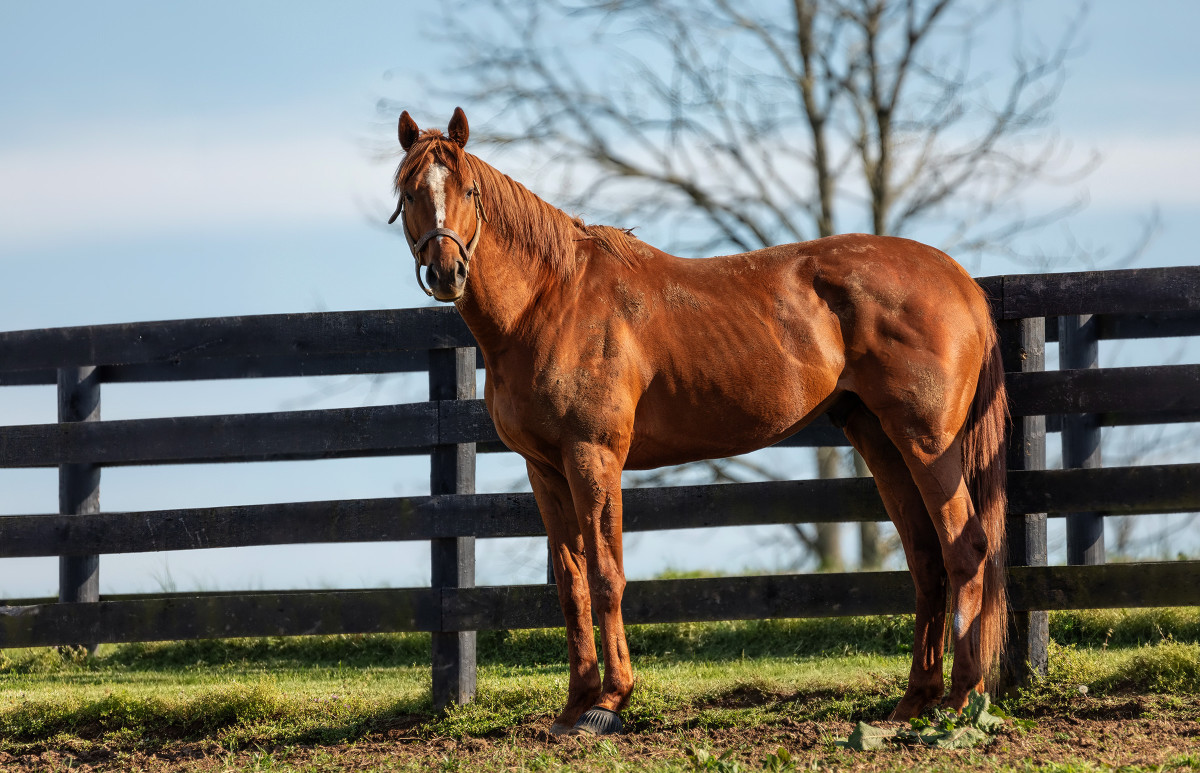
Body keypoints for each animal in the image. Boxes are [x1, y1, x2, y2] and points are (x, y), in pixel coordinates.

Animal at [388, 108, 1008, 734]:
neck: (549, 303)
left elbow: (606, 576)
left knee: (965, 548)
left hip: (927, 441)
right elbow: (571, 583)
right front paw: (574, 704)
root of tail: (958, 280)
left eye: (469, 190)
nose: (446, 271)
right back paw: (914, 701)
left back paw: (960, 699)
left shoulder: (593, 455)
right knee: (926, 558)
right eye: (410, 192)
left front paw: (609, 703)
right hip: (879, 438)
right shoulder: (545, 469)